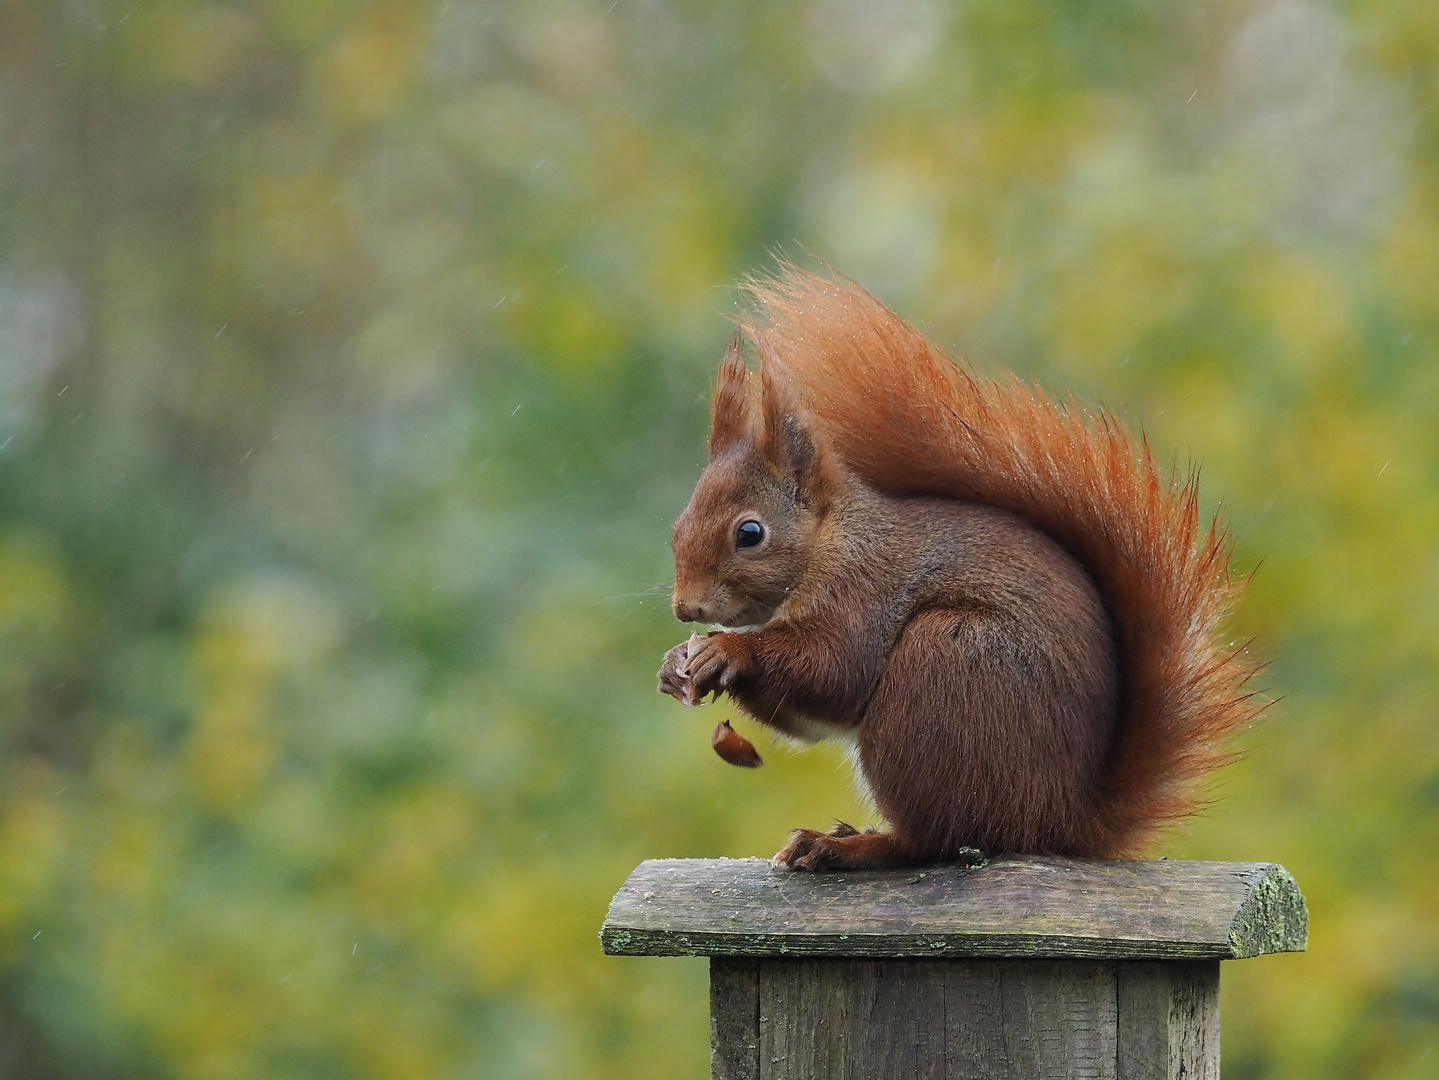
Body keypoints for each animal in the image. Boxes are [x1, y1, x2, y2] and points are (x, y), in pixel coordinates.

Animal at [659, 266, 1266, 874]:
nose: (686, 607)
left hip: (942, 668)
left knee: (935, 838)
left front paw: (727, 651)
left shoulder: (862, 591)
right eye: (678, 523)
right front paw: (675, 665)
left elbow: (834, 671)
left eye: (749, 533)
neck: (830, 543)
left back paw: (846, 846)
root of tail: (1064, 818)